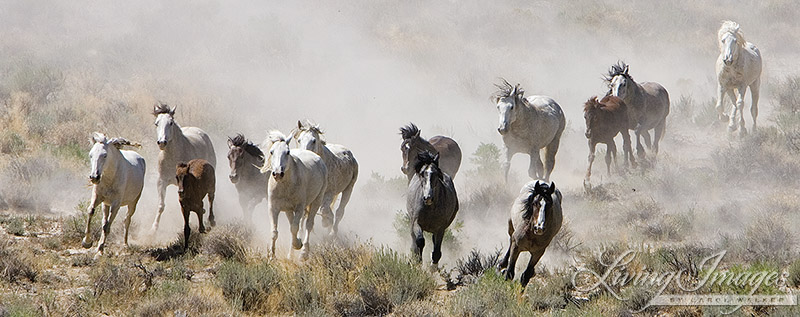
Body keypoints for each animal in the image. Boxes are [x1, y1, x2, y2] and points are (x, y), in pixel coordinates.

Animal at [260, 130, 326, 258]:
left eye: (288, 152)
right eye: (271, 151)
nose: (278, 173)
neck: (285, 185)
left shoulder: (299, 207)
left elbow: (295, 228)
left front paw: (298, 244)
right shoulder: (273, 208)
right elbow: (274, 231)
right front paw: (271, 256)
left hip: (317, 200)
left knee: (308, 224)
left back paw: (304, 253)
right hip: (288, 209)